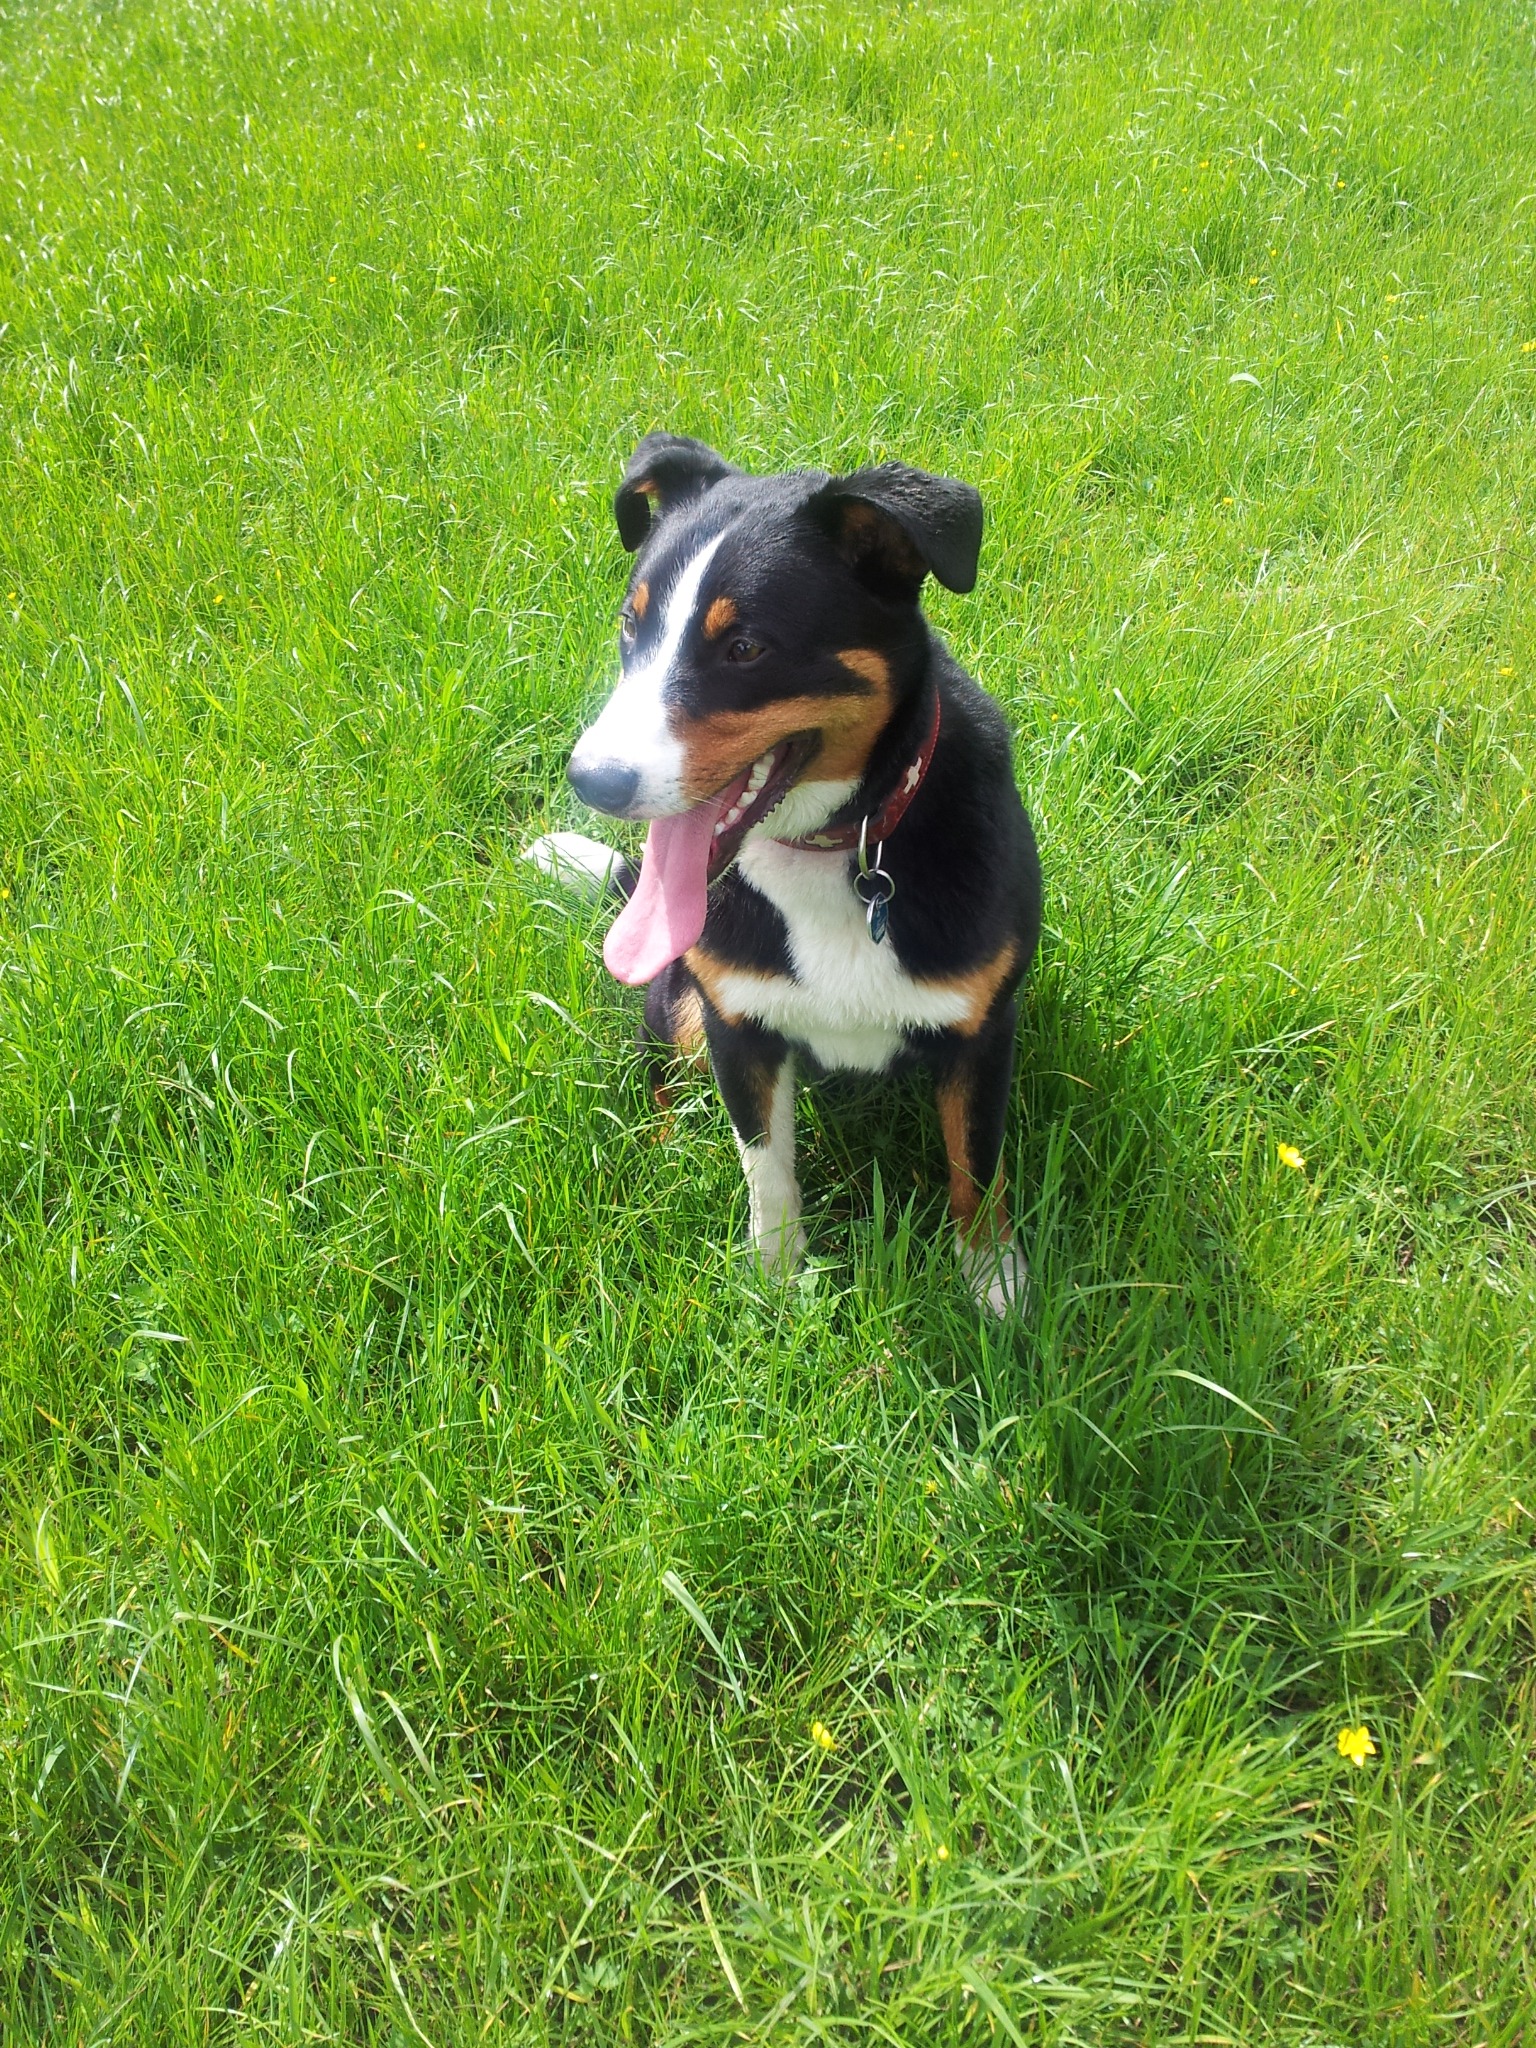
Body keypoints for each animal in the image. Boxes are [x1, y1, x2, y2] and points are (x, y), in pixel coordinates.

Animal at [528, 432, 1048, 1310]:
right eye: (631, 628)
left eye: (745, 647)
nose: (592, 779)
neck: (833, 854)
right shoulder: (737, 1024)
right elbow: (765, 1166)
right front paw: (776, 1282)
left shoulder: (983, 1031)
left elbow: (975, 1167)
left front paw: (991, 1283)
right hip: (680, 1008)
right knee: (659, 1076)